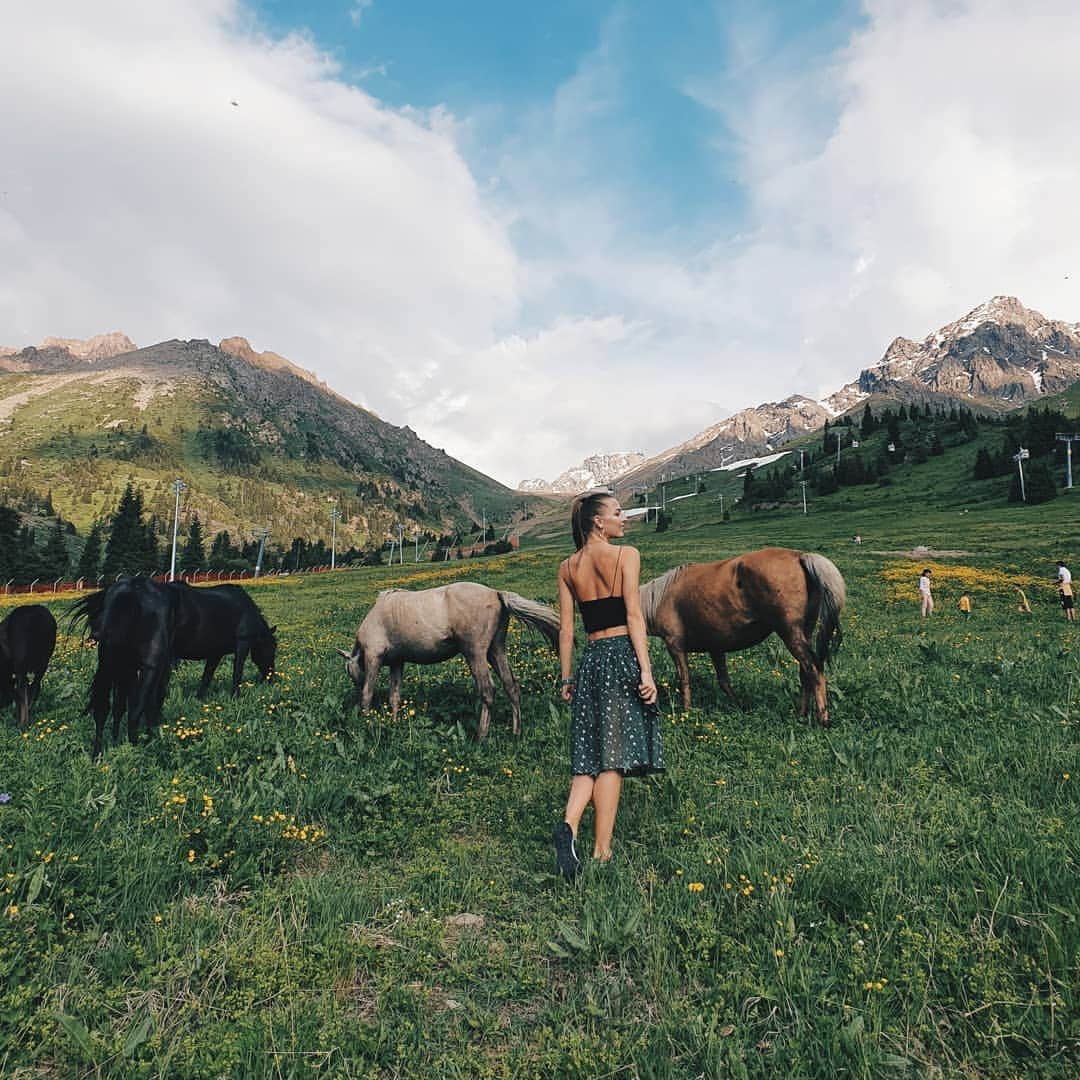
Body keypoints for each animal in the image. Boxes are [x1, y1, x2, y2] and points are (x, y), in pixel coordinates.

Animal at [71, 578, 179, 756]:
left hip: (110, 666)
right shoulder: (150, 670)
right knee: (135, 710)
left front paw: (115, 741)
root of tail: (131, 590)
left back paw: (98, 753)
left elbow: (119, 706)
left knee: (104, 708)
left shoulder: (125, 670)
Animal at [639, 548, 842, 725]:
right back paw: (801, 714)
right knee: (805, 671)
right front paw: (739, 707)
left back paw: (823, 719)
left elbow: (685, 681)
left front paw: (687, 711)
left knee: (814, 670)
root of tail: (800, 556)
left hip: (790, 633)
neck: (661, 599)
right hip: (804, 633)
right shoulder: (716, 648)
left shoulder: (675, 646)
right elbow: (724, 682)